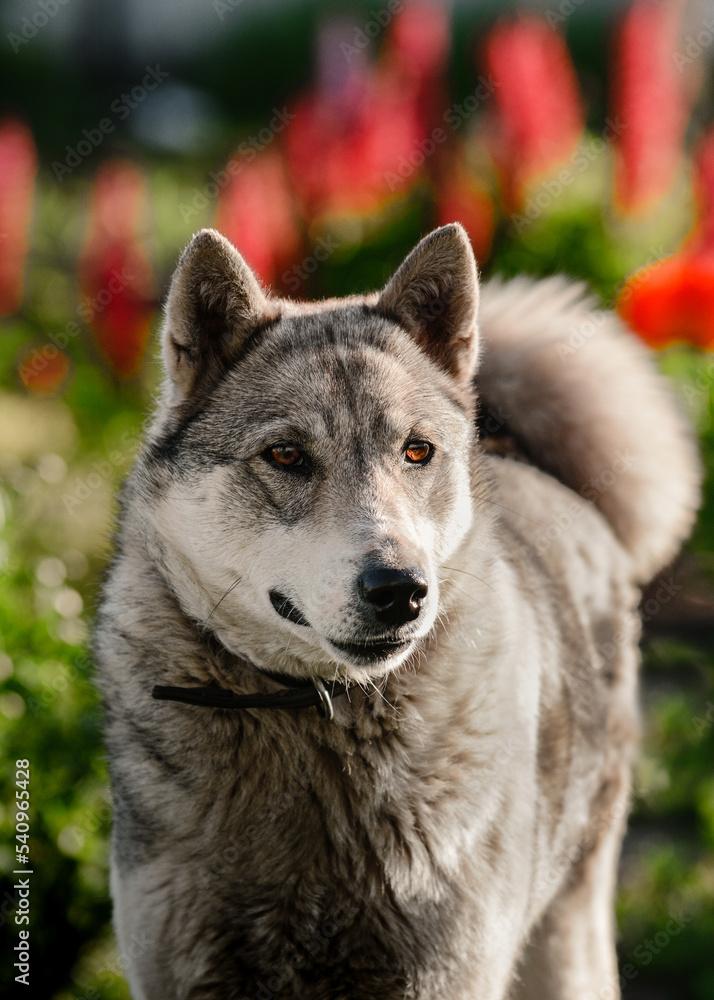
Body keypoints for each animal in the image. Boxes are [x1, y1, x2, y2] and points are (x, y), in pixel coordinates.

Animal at [92, 223, 700, 996]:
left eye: (417, 451)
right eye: (285, 455)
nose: (400, 589)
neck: (318, 713)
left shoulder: (443, 971)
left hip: (568, 940)